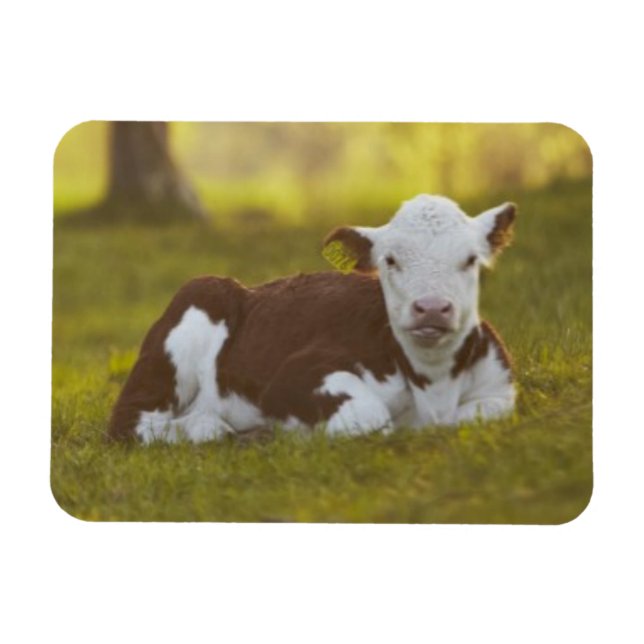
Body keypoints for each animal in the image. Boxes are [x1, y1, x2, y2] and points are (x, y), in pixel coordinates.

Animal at [108, 194, 517, 443]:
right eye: (390, 260)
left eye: (470, 259)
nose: (431, 307)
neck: (434, 388)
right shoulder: (293, 376)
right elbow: (370, 417)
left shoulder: (501, 389)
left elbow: (481, 414)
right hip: (193, 311)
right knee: (132, 422)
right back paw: (216, 428)